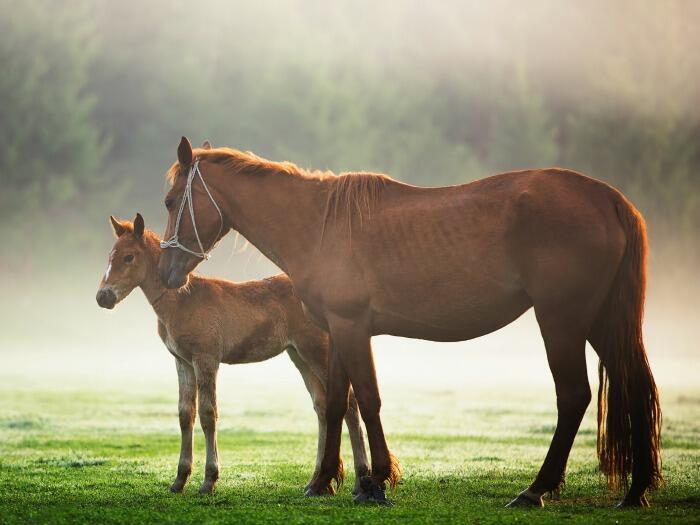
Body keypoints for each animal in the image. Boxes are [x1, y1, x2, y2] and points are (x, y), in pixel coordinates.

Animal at [98, 214, 374, 496]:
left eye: (129, 257)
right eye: (110, 256)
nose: (103, 297)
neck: (182, 301)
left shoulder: (206, 359)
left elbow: (208, 413)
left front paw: (209, 480)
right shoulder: (182, 362)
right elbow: (186, 414)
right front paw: (179, 479)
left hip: (317, 351)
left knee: (349, 404)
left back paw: (360, 480)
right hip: (300, 356)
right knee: (322, 407)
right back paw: (316, 482)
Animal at [156, 137, 660, 506]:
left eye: (171, 200)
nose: (166, 273)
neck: (320, 225)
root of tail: (611, 200)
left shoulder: (353, 328)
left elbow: (369, 400)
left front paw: (376, 482)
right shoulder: (336, 331)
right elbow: (337, 403)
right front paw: (325, 481)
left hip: (562, 320)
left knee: (573, 396)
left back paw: (536, 490)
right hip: (599, 323)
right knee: (634, 386)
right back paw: (635, 490)